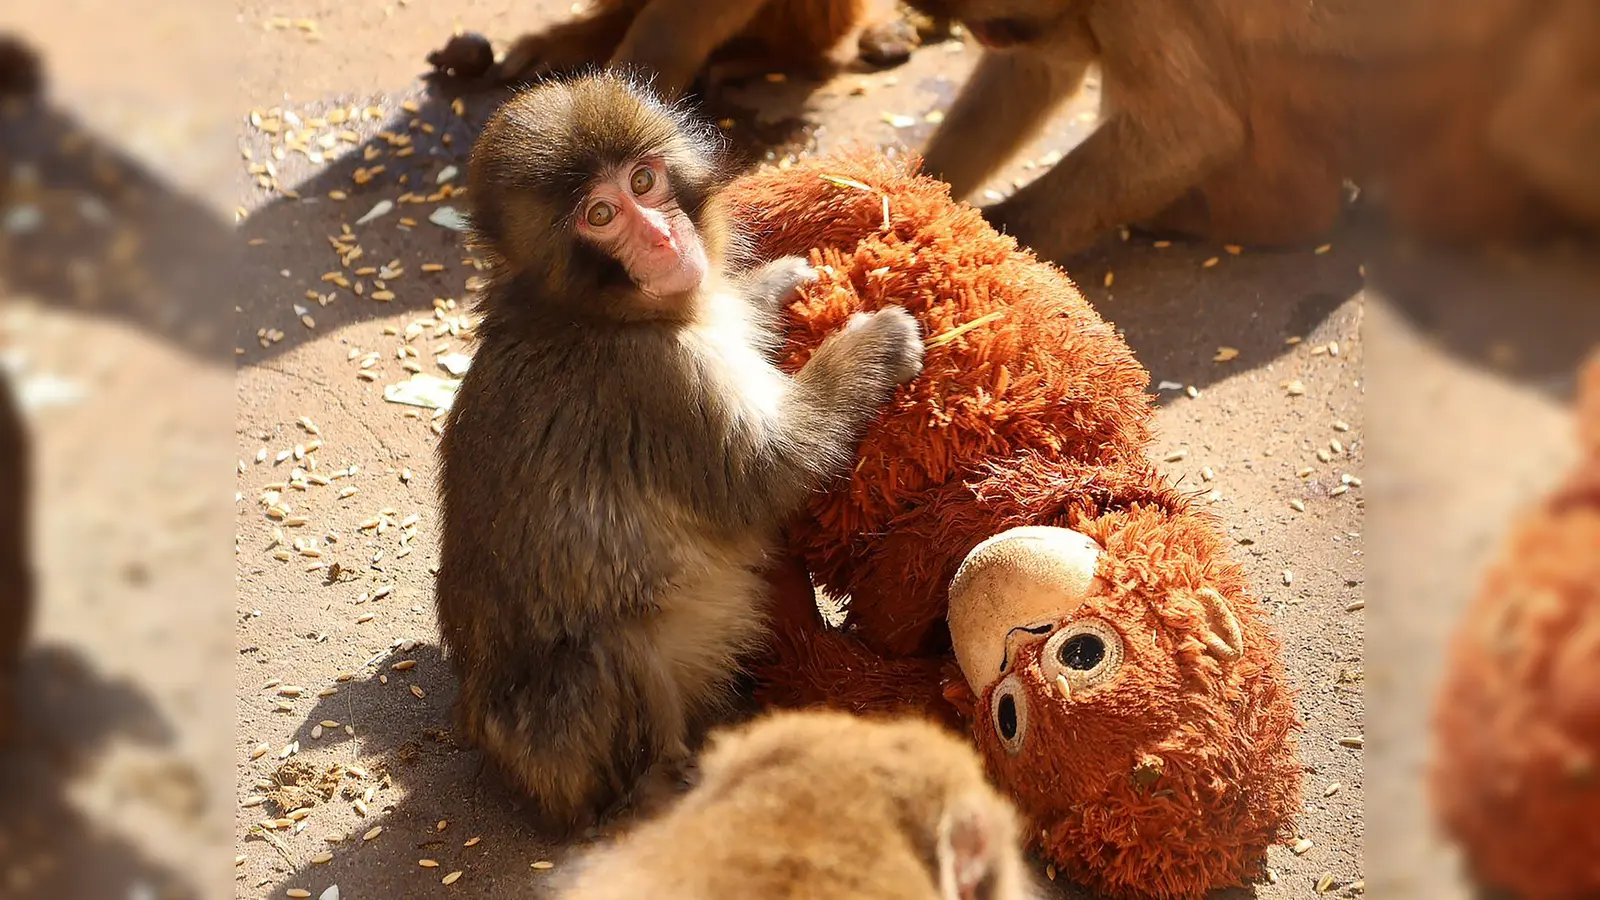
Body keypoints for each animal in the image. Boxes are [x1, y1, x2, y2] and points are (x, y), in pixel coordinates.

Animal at [435, 72, 925, 836]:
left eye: (644, 180)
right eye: (601, 214)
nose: (665, 237)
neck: (593, 313)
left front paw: (772, 283)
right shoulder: (656, 380)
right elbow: (768, 472)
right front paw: (874, 345)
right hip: (563, 745)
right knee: (609, 653)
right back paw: (663, 787)